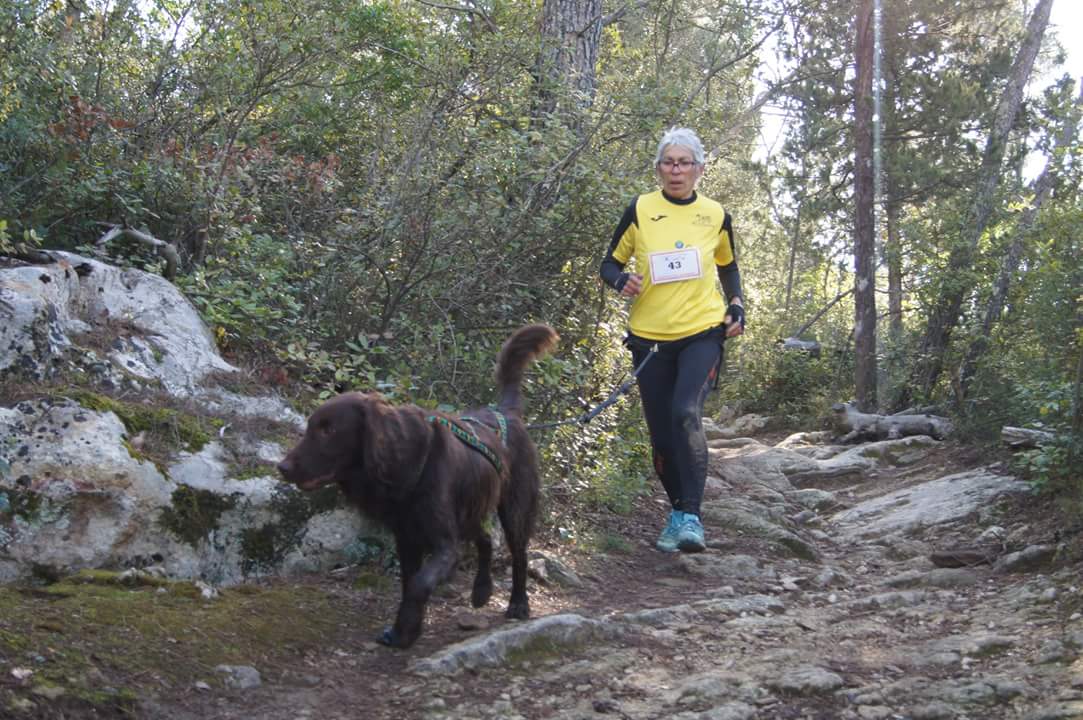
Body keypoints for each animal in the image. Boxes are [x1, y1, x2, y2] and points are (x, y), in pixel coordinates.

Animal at [277, 324, 558, 645]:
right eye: (311, 427)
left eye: (329, 430)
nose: (282, 468)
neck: (406, 464)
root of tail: (505, 413)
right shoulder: (407, 537)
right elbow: (409, 582)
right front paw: (405, 631)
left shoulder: (443, 543)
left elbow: (419, 584)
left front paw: (407, 627)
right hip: (468, 512)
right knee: (486, 539)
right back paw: (481, 590)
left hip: (514, 508)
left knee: (519, 553)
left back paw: (518, 604)